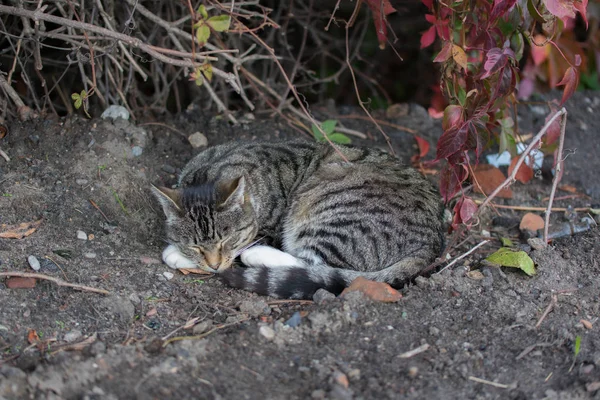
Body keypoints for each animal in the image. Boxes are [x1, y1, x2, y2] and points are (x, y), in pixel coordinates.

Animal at [154, 139, 446, 298]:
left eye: (229, 239)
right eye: (194, 245)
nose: (214, 264)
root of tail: (434, 237)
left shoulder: (266, 231)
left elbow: (237, 253)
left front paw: (175, 255)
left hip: (336, 216)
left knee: (314, 265)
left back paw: (258, 256)